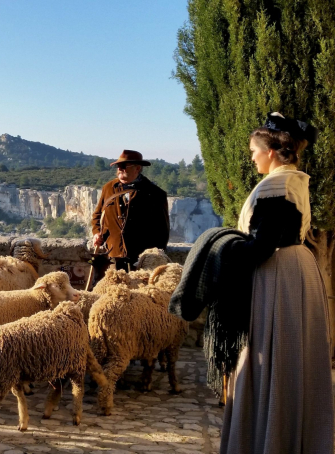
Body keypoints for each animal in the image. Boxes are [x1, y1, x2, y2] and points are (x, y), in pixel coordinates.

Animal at [0, 302, 107, 430]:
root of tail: (70, 310)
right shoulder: (13, 373)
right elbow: (19, 396)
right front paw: (23, 422)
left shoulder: (6, 376)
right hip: (61, 365)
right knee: (59, 387)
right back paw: (48, 411)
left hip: (77, 363)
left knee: (78, 390)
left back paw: (76, 417)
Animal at [88, 262, 189, 414]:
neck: (169, 290)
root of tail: (99, 314)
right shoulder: (174, 342)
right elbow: (171, 365)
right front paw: (175, 387)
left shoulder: (152, 341)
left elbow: (150, 363)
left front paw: (146, 384)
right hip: (120, 349)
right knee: (109, 374)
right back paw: (107, 406)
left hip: (98, 345)